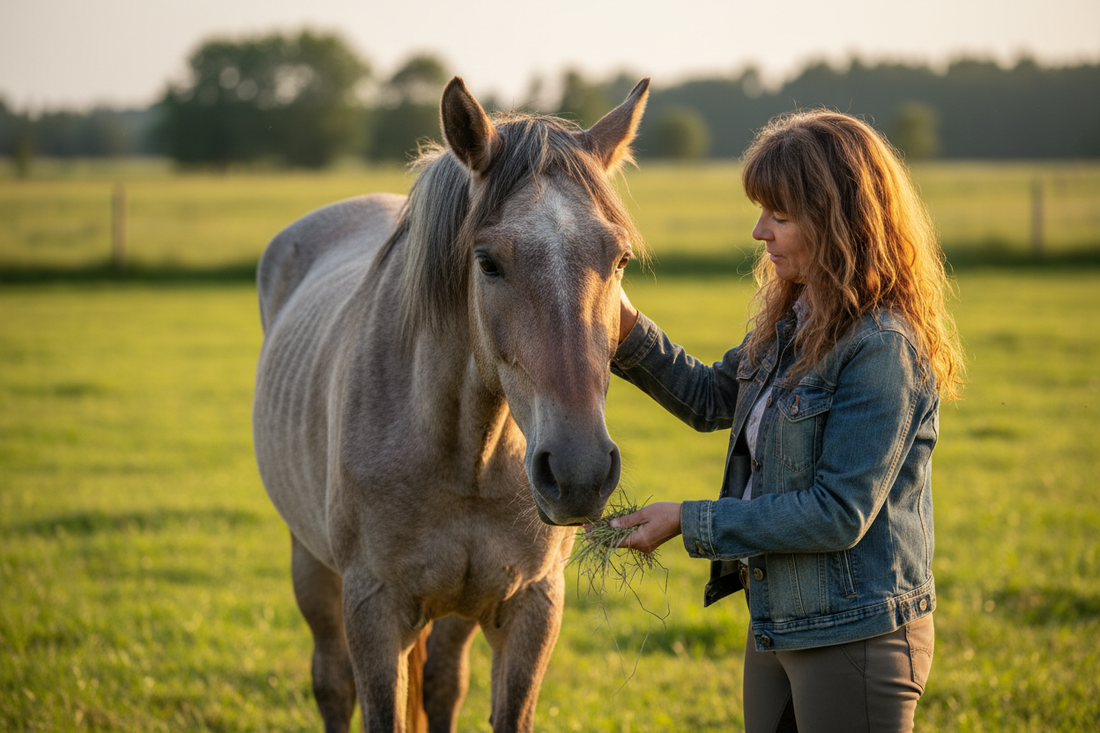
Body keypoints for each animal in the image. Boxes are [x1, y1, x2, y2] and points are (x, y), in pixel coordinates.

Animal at [252, 76, 649, 733]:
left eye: (618, 260)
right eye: (487, 262)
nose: (579, 472)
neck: (467, 456)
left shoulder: (533, 606)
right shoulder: (373, 610)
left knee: (442, 683)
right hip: (310, 567)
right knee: (332, 685)